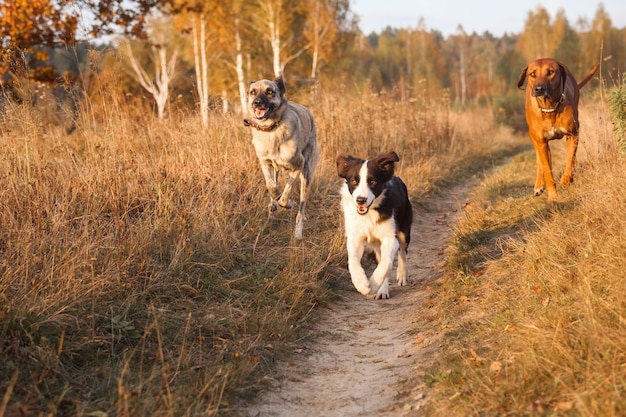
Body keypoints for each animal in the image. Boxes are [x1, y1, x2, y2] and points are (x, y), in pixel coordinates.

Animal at [241, 73, 314, 239]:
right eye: (253, 92)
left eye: (269, 92)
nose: (257, 103)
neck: (270, 129)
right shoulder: (265, 163)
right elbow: (271, 186)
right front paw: (275, 199)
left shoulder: (298, 165)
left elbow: (286, 193)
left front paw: (287, 202)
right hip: (277, 168)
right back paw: (273, 203)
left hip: (306, 176)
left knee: (301, 209)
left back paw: (298, 231)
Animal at [336, 151, 410, 298]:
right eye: (354, 181)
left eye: (373, 182)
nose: (361, 200)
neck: (369, 213)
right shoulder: (355, 237)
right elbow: (353, 261)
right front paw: (362, 285)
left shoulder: (390, 238)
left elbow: (386, 264)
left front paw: (373, 285)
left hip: (404, 229)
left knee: (402, 252)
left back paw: (400, 277)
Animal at [516, 58, 596, 202]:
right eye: (532, 74)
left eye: (550, 72)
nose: (539, 89)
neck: (550, 108)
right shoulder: (541, 143)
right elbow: (547, 171)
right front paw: (553, 196)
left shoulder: (573, 135)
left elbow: (570, 159)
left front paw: (566, 179)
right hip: (534, 138)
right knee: (540, 159)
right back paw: (538, 185)